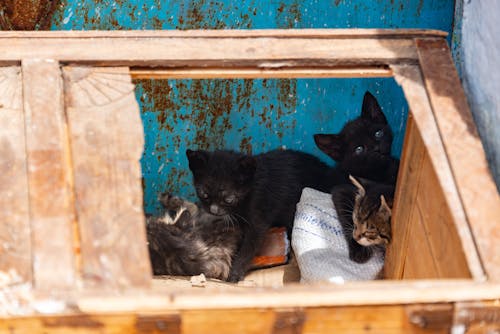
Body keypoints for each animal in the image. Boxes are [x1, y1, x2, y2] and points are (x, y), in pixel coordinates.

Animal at [186, 149, 334, 282]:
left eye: (228, 199)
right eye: (204, 194)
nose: (213, 210)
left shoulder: (257, 219)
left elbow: (248, 248)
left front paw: (234, 274)